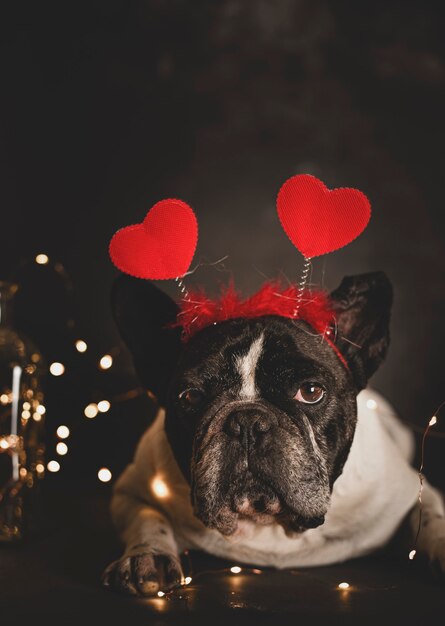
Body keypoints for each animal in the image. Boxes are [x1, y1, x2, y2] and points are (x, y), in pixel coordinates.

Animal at [101, 270, 444, 592]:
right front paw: (147, 556)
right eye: (192, 397)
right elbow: (147, 518)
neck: (268, 524)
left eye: (311, 391)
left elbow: (431, 517)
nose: (247, 421)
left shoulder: (412, 493)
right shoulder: (132, 488)